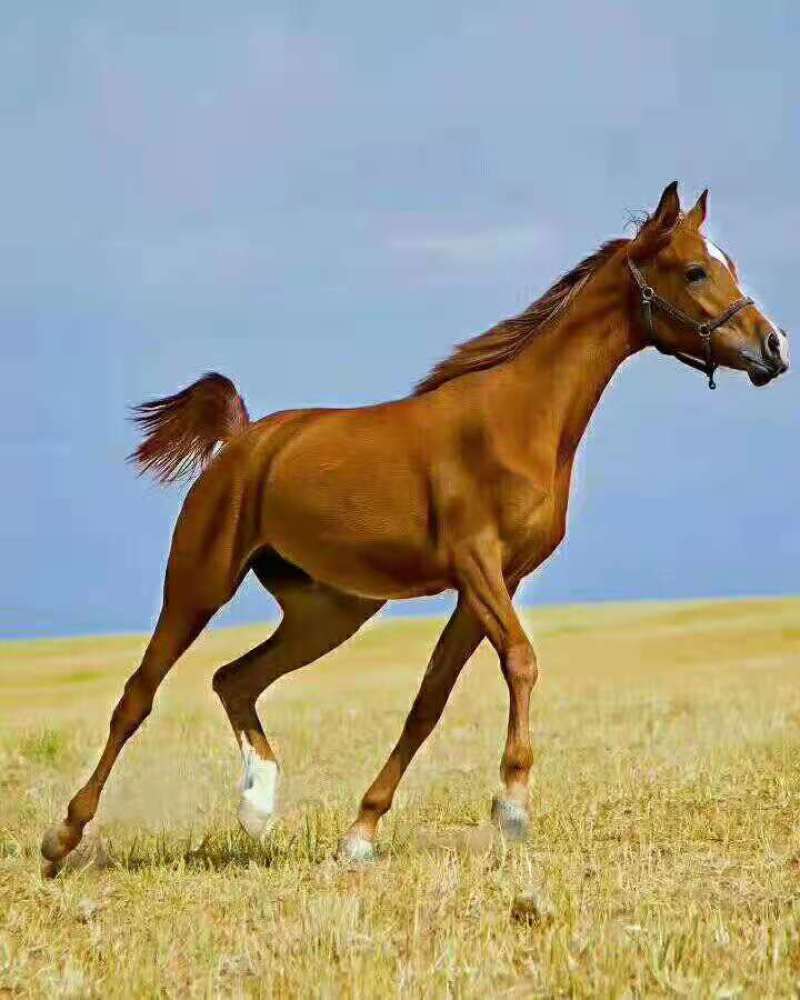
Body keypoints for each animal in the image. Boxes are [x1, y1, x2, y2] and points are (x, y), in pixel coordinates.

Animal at [41, 182, 789, 875]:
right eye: (695, 270)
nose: (772, 348)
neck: (520, 419)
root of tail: (244, 439)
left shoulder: (496, 580)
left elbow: (429, 701)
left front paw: (360, 835)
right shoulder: (477, 564)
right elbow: (521, 661)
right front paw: (512, 808)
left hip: (330, 610)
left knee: (235, 678)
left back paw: (257, 806)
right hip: (199, 581)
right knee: (138, 696)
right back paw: (62, 838)